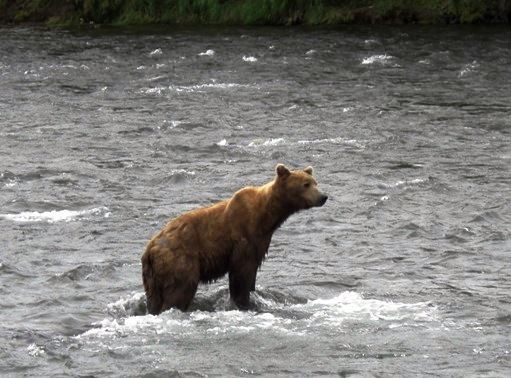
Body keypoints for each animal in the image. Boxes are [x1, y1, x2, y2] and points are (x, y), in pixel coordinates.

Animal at [142, 164, 328, 314]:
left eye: (315, 182)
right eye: (306, 184)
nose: (323, 196)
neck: (266, 216)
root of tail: (150, 248)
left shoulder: (261, 242)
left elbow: (252, 269)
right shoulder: (243, 237)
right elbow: (242, 272)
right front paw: (243, 302)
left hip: (152, 276)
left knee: (154, 298)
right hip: (180, 261)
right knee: (180, 290)